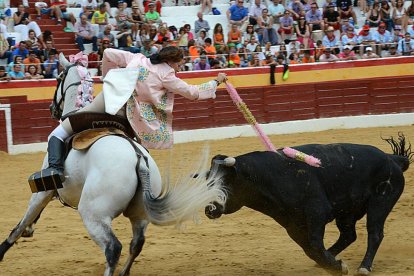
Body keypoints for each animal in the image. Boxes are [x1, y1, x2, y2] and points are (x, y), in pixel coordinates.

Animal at [0, 54, 226, 276]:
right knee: (137, 243)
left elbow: (23, 221)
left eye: (58, 78)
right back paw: (124, 272)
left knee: (113, 248)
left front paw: (6, 247)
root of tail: (138, 159)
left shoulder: (43, 190)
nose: (51, 109)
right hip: (140, 214)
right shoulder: (52, 192)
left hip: (93, 213)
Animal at [205, 135, 412, 274]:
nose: (209, 209)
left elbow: (314, 244)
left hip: (380, 203)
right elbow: (310, 249)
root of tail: (392, 159)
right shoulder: (293, 224)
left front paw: (337, 267)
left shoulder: (317, 213)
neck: (270, 176)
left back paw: (364, 267)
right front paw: (333, 265)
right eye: (207, 181)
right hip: (347, 212)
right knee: (348, 235)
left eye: (224, 183)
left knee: (375, 233)